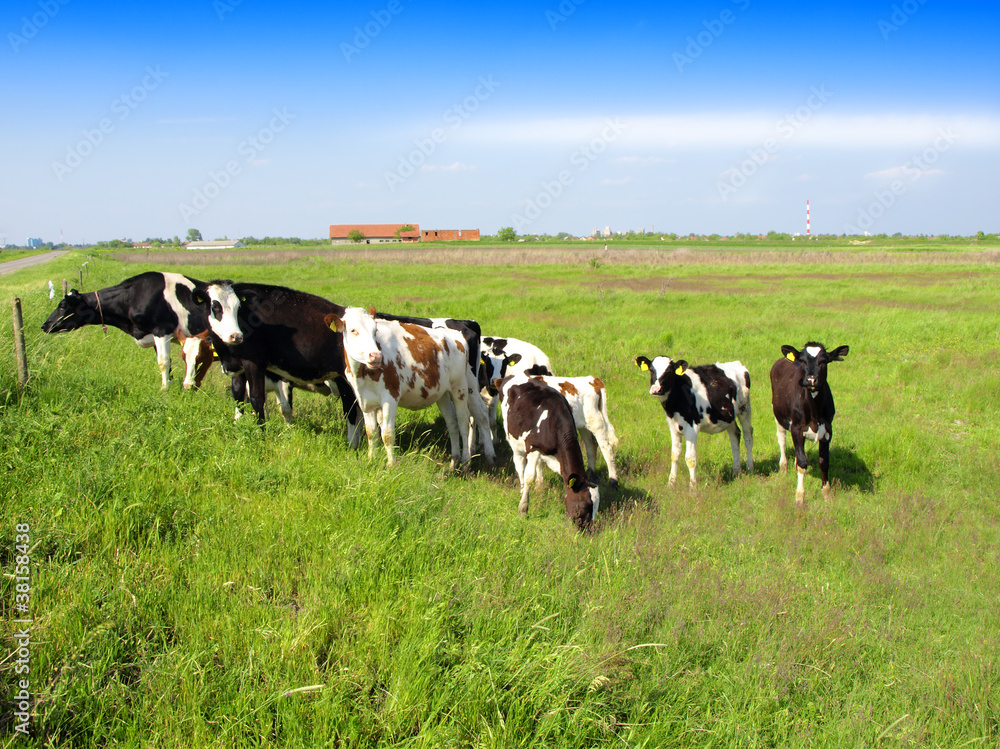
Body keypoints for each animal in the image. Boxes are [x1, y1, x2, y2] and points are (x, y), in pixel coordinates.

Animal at [41, 270, 209, 388]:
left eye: (62, 306)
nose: (44, 325)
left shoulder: (162, 330)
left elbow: (163, 362)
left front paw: (165, 388)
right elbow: (167, 362)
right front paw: (170, 384)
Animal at [334, 306, 494, 468]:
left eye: (375, 330)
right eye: (353, 330)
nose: (375, 356)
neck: (362, 372)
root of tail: (458, 334)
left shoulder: (390, 397)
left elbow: (387, 434)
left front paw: (391, 465)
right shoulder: (365, 400)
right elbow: (371, 432)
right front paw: (371, 460)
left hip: (461, 387)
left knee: (465, 420)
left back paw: (469, 461)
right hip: (443, 392)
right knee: (453, 422)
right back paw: (456, 460)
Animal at [494, 374, 596, 532]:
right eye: (586, 505)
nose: (588, 529)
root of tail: (510, 376)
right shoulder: (533, 447)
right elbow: (529, 477)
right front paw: (523, 509)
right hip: (514, 437)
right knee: (519, 465)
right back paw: (522, 489)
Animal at [768, 342, 848, 506]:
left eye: (823, 361)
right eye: (803, 361)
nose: (811, 380)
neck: (814, 411)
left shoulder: (828, 430)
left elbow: (824, 462)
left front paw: (826, 494)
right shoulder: (796, 428)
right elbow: (802, 463)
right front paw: (799, 497)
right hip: (777, 414)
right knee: (782, 440)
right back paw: (784, 467)